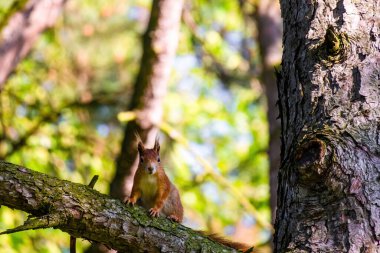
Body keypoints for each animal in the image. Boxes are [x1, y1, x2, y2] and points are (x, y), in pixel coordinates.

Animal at [126, 138, 254, 253]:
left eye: (158, 159)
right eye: (142, 160)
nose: (150, 168)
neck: (150, 177)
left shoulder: (164, 184)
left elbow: (161, 197)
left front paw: (155, 209)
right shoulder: (137, 182)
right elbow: (135, 192)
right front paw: (130, 199)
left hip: (175, 202)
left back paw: (175, 217)